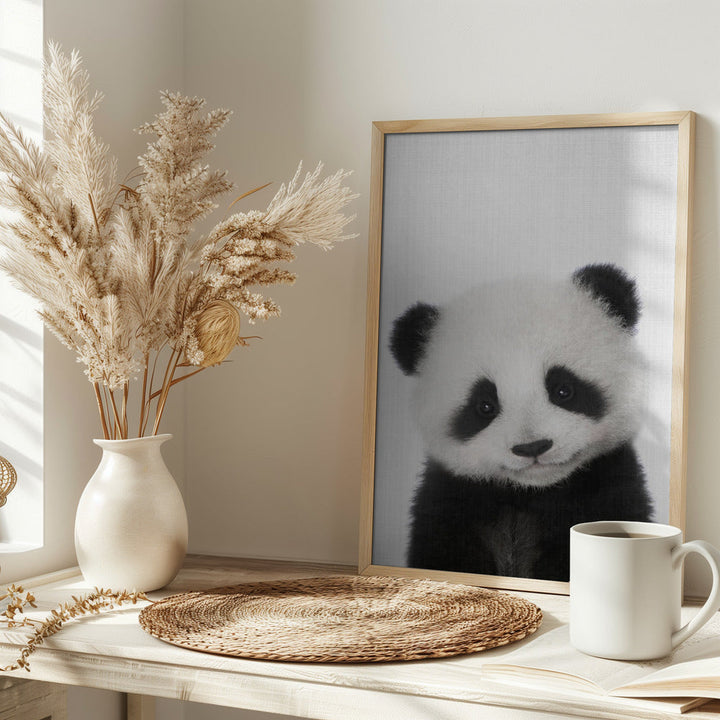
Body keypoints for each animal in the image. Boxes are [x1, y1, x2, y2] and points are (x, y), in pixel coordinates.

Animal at [389, 263, 653, 582]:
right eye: (485, 405)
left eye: (563, 389)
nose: (532, 447)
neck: (529, 494)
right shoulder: (450, 504)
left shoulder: (608, 488)